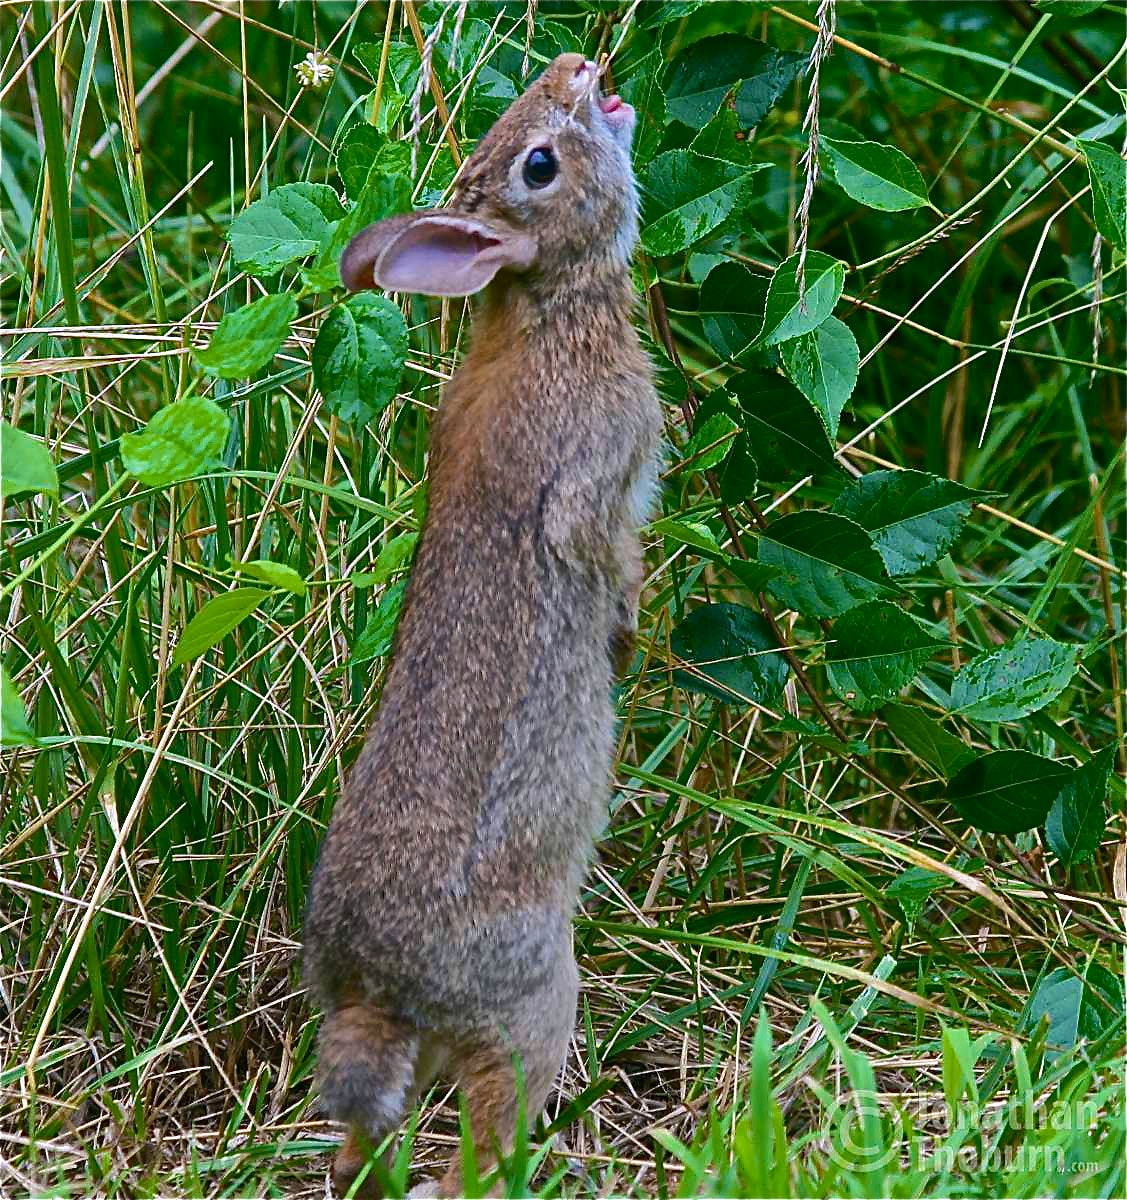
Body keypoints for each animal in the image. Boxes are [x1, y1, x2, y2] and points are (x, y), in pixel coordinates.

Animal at [303, 52, 663, 1198]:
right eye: (537, 164)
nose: (578, 68)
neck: (546, 301)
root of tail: (379, 987)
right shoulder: (592, 482)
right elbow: (600, 551)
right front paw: (625, 638)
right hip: (534, 998)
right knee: (493, 1130)